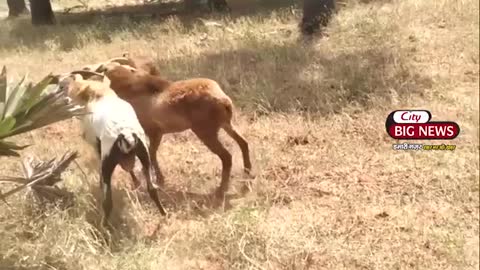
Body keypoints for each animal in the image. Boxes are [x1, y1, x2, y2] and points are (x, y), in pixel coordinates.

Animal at [88, 59, 253, 202]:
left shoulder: (153, 132)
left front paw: (158, 180)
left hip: (206, 132)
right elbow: (152, 154)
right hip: (226, 124)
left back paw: (221, 191)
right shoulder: (156, 133)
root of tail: (224, 100)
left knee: (227, 156)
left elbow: (150, 155)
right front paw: (159, 179)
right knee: (243, 143)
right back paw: (248, 175)